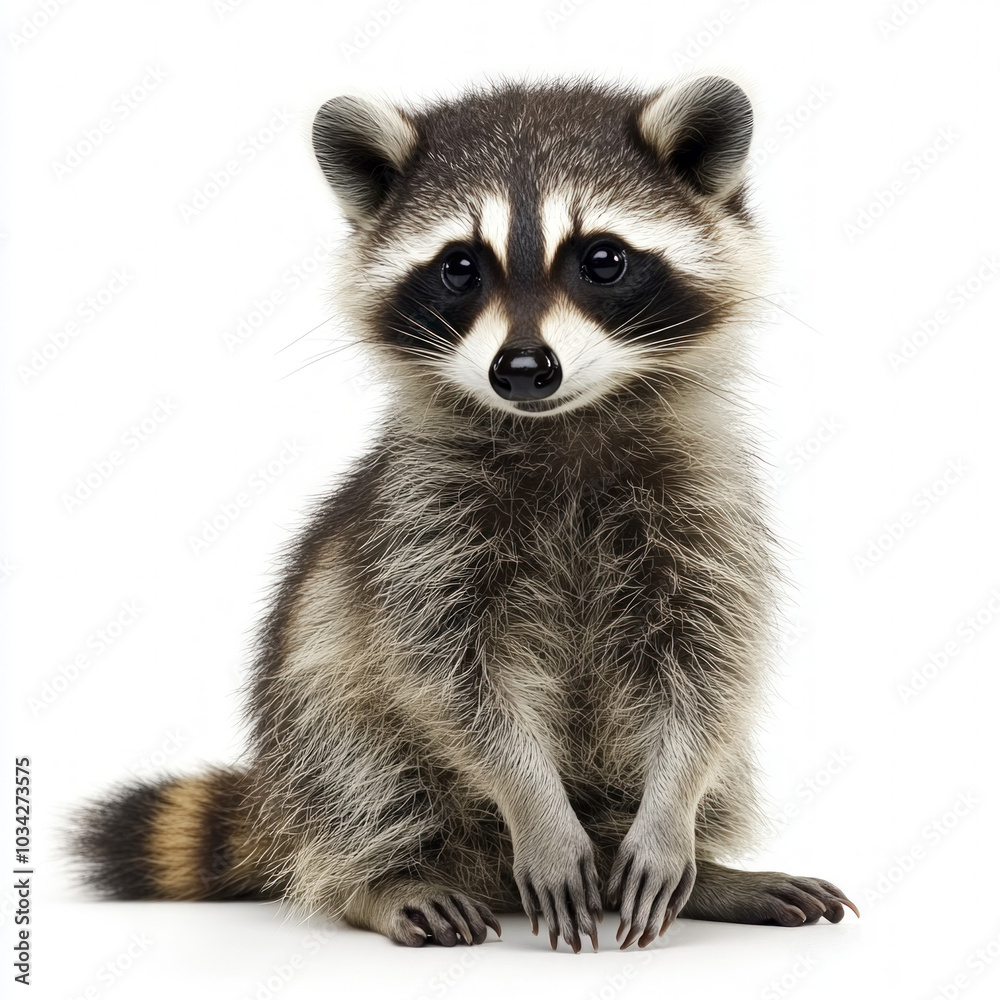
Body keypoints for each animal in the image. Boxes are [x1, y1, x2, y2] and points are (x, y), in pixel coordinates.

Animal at [70, 76, 858, 952]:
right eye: (459, 268)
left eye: (604, 259)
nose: (523, 368)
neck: (559, 427)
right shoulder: (421, 521)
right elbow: (454, 679)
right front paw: (535, 809)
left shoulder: (706, 505)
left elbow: (711, 669)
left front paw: (671, 820)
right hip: (312, 720)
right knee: (353, 769)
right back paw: (383, 880)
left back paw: (702, 870)